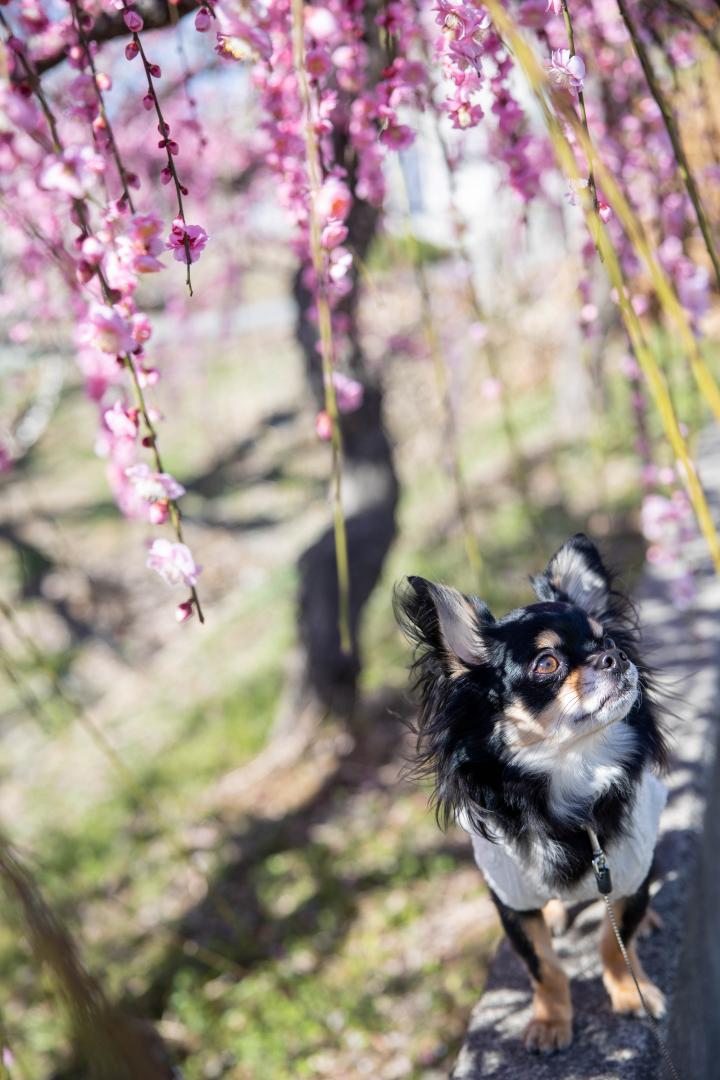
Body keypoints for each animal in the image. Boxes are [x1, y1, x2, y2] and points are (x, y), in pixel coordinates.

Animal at [397, 537, 669, 1054]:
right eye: (548, 664)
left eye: (608, 642)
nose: (615, 658)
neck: (574, 773)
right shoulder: (510, 898)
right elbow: (543, 966)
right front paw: (550, 1020)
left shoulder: (627, 869)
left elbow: (614, 940)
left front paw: (631, 993)